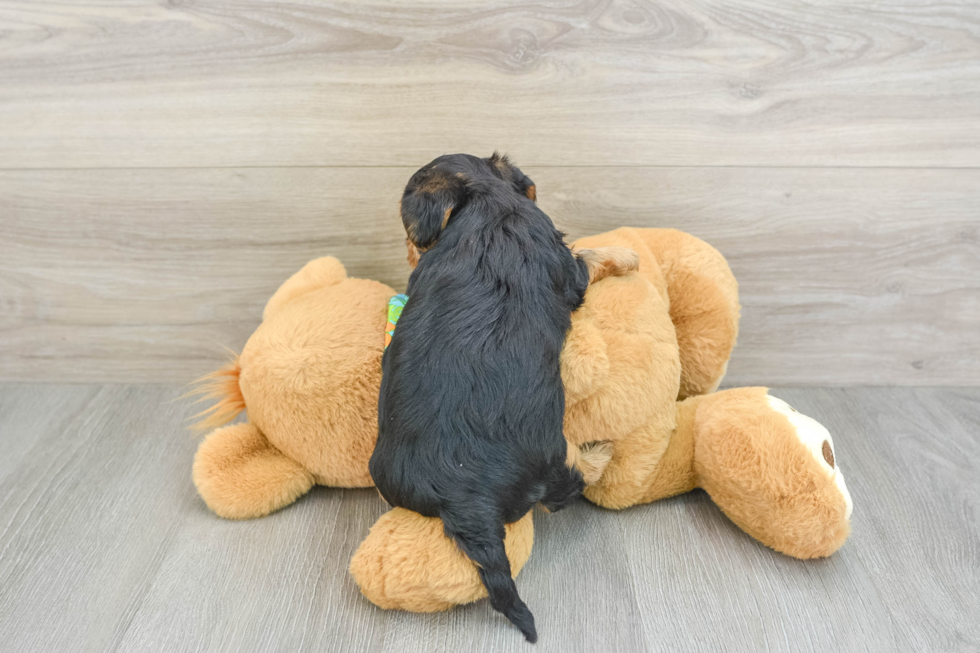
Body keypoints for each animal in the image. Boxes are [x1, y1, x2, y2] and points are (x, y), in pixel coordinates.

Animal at [372, 154, 640, 640]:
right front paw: (628, 255)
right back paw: (600, 451)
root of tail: (462, 496)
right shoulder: (566, 265)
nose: (408, 254)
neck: (485, 197)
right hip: (547, 458)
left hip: (388, 476)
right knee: (566, 485)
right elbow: (590, 257)